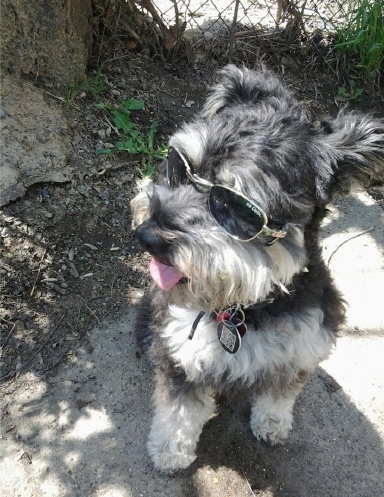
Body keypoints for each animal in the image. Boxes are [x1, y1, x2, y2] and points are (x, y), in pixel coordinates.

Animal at [130, 64, 384, 470]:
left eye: (235, 206)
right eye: (179, 167)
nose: (147, 235)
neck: (251, 306)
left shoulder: (302, 348)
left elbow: (279, 395)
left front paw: (272, 424)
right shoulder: (181, 354)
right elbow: (179, 411)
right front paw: (170, 451)